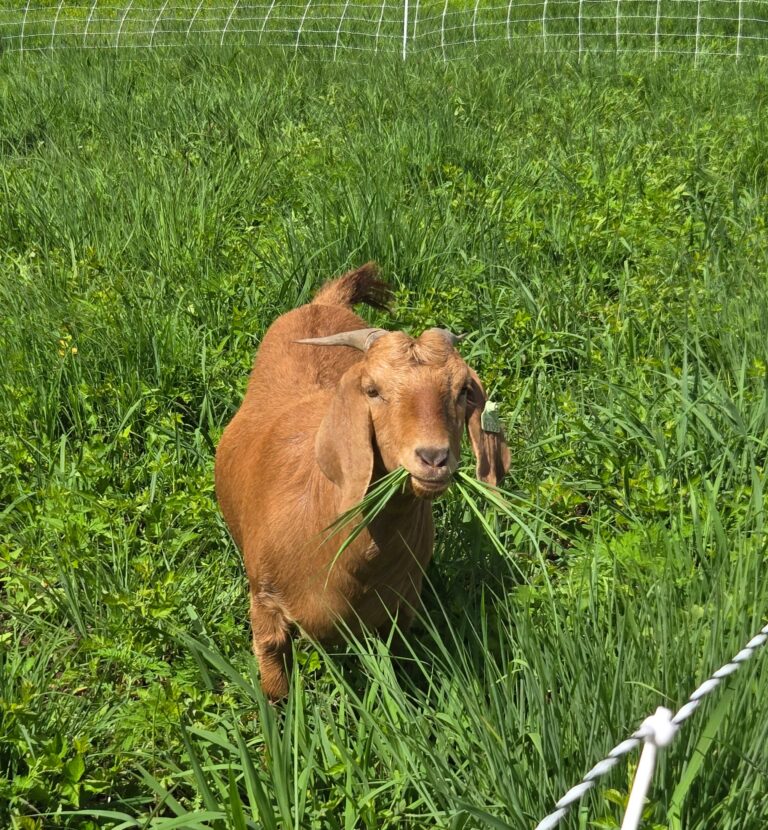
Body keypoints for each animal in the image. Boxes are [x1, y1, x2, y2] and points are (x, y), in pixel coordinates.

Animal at [215, 263, 510, 699]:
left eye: (461, 391)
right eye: (372, 390)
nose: (433, 457)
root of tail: (325, 303)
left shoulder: (399, 612)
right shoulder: (265, 606)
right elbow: (275, 689)